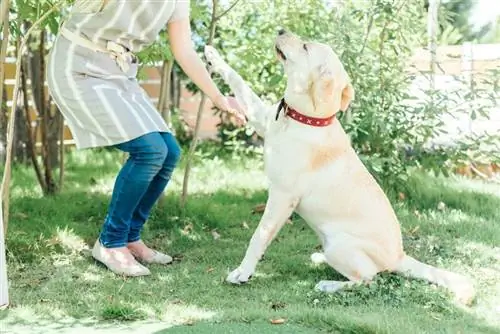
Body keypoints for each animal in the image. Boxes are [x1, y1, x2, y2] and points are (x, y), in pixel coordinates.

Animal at [204, 30, 476, 304]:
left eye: (305, 46)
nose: (281, 30)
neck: (305, 119)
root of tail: (400, 256)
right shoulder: (261, 118)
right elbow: (239, 81)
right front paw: (213, 55)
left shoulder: (282, 197)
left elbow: (259, 236)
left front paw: (243, 272)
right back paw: (319, 259)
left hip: (340, 245)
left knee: (370, 279)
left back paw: (328, 285)